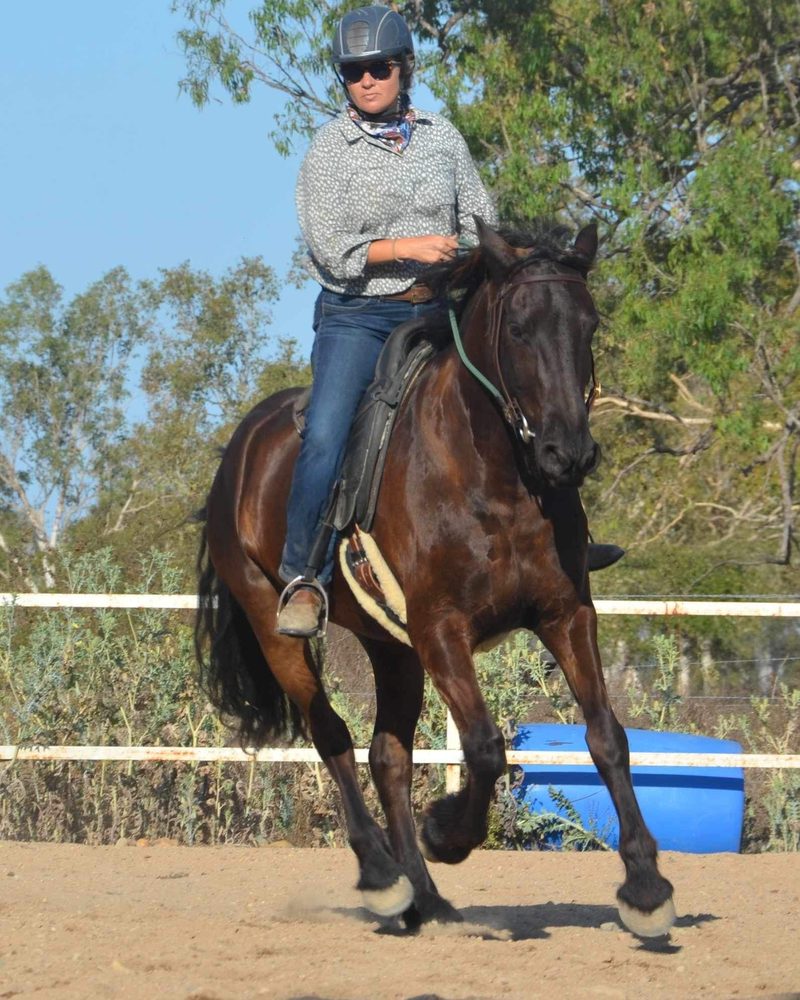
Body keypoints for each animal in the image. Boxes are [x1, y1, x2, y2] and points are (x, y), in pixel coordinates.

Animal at [195, 217, 676, 936]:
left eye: (588, 324)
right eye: (518, 330)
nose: (569, 453)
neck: (494, 476)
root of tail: (239, 453)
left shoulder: (565, 615)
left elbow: (607, 737)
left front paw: (645, 886)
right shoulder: (441, 629)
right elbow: (482, 745)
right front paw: (447, 833)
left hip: (391, 648)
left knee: (386, 758)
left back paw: (425, 900)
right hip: (274, 623)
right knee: (331, 736)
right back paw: (383, 877)